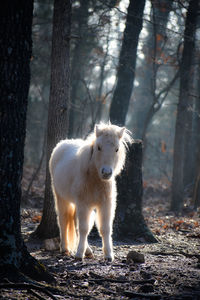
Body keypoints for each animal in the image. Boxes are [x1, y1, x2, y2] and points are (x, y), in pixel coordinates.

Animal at [49, 123, 132, 262]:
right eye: (98, 147)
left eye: (117, 149)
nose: (106, 172)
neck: (95, 180)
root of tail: (61, 144)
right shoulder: (84, 204)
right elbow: (84, 228)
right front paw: (78, 254)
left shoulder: (106, 205)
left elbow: (105, 229)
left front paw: (109, 255)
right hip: (61, 197)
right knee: (63, 219)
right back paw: (65, 248)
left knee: (75, 222)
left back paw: (87, 251)